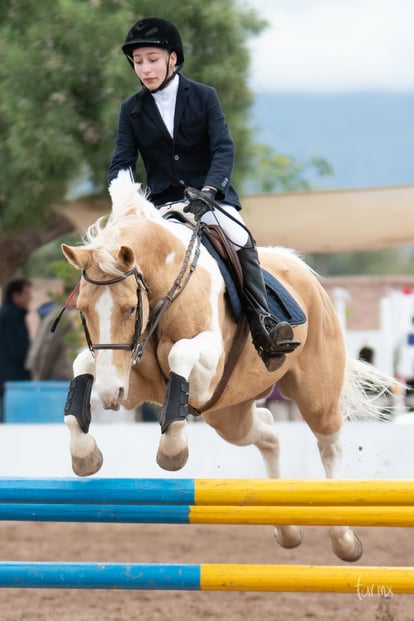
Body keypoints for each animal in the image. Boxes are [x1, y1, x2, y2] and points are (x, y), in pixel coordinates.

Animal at [61, 168, 394, 560]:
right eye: (82, 309)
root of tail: (302, 270)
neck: (168, 286)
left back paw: (343, 538)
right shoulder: (134, 379)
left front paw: (173, 449)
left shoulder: (205, 370)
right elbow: (83, 364)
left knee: (330, 446)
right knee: (268, 431)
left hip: (315, 396)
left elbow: (180, 354)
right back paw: (285, 527)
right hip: (227, 413)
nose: (109, 395)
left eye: (129, 309)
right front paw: (85, 455)